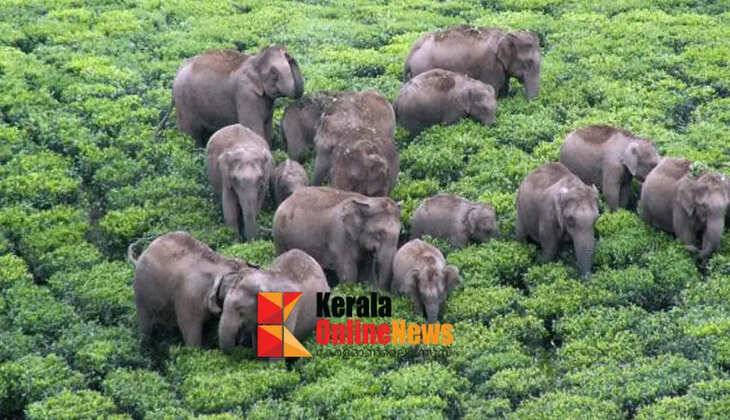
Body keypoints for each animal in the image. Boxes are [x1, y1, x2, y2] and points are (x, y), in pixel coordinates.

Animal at [129, 231, 257, 348]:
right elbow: (188, 327)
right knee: (145, 323)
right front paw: (195, 351)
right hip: (141, 290)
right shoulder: (189, 298)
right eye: (240, 310)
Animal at [173, 45, 303, 147]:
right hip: (184, 103)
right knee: (191, 134)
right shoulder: (245, 95)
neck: (254, 60)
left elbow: (267, 128)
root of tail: (177, 72)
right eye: (274, 73)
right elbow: (253, 129)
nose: (289, 56)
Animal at [273, 187, 401, 289]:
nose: (378, 289)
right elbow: (348, 273)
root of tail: (287, 199)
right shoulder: (340, 237)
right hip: (280, 236)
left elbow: (365, 269)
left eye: (400, 232)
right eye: (379, 233)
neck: (366, 201)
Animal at [405, 25, 541, 100]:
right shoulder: (490, 66)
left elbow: (504, 89)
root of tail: (411, 53)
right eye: (528, 63)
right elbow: (494, 89)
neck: (506, 35)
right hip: (422, 69)